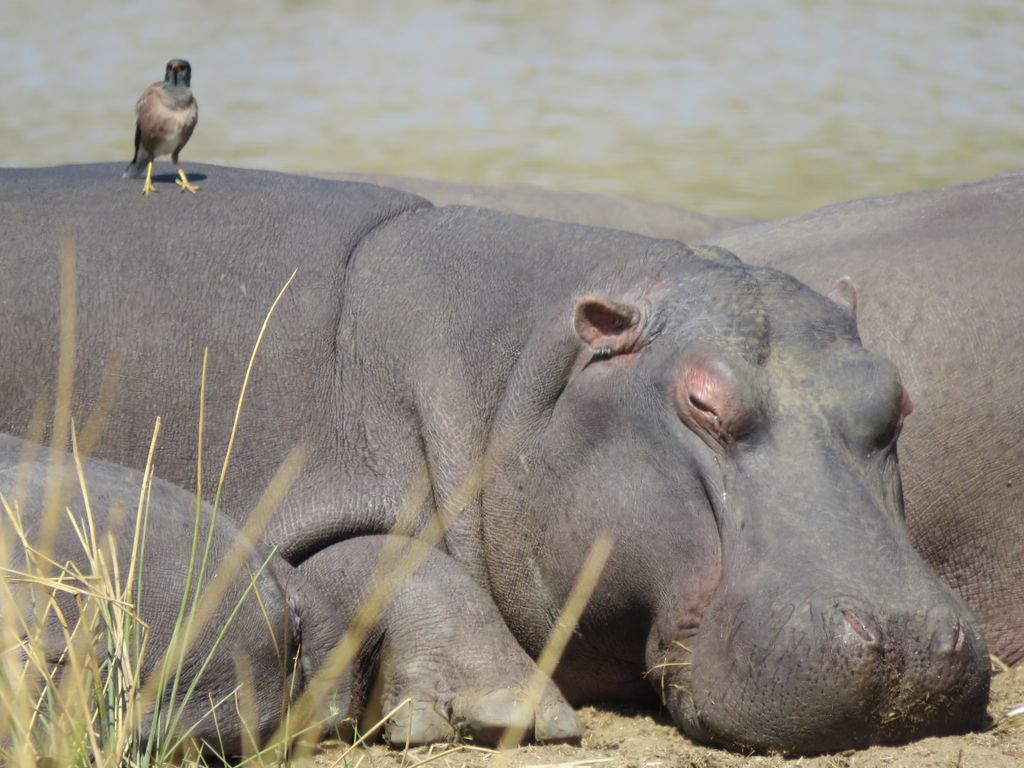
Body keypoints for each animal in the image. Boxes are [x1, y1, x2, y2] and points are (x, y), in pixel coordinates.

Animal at [0, 164, 991, 753]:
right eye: (702, 401)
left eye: (896, 395)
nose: (909, 643)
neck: (518, 370)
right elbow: (385, 554)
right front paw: (504, 711)